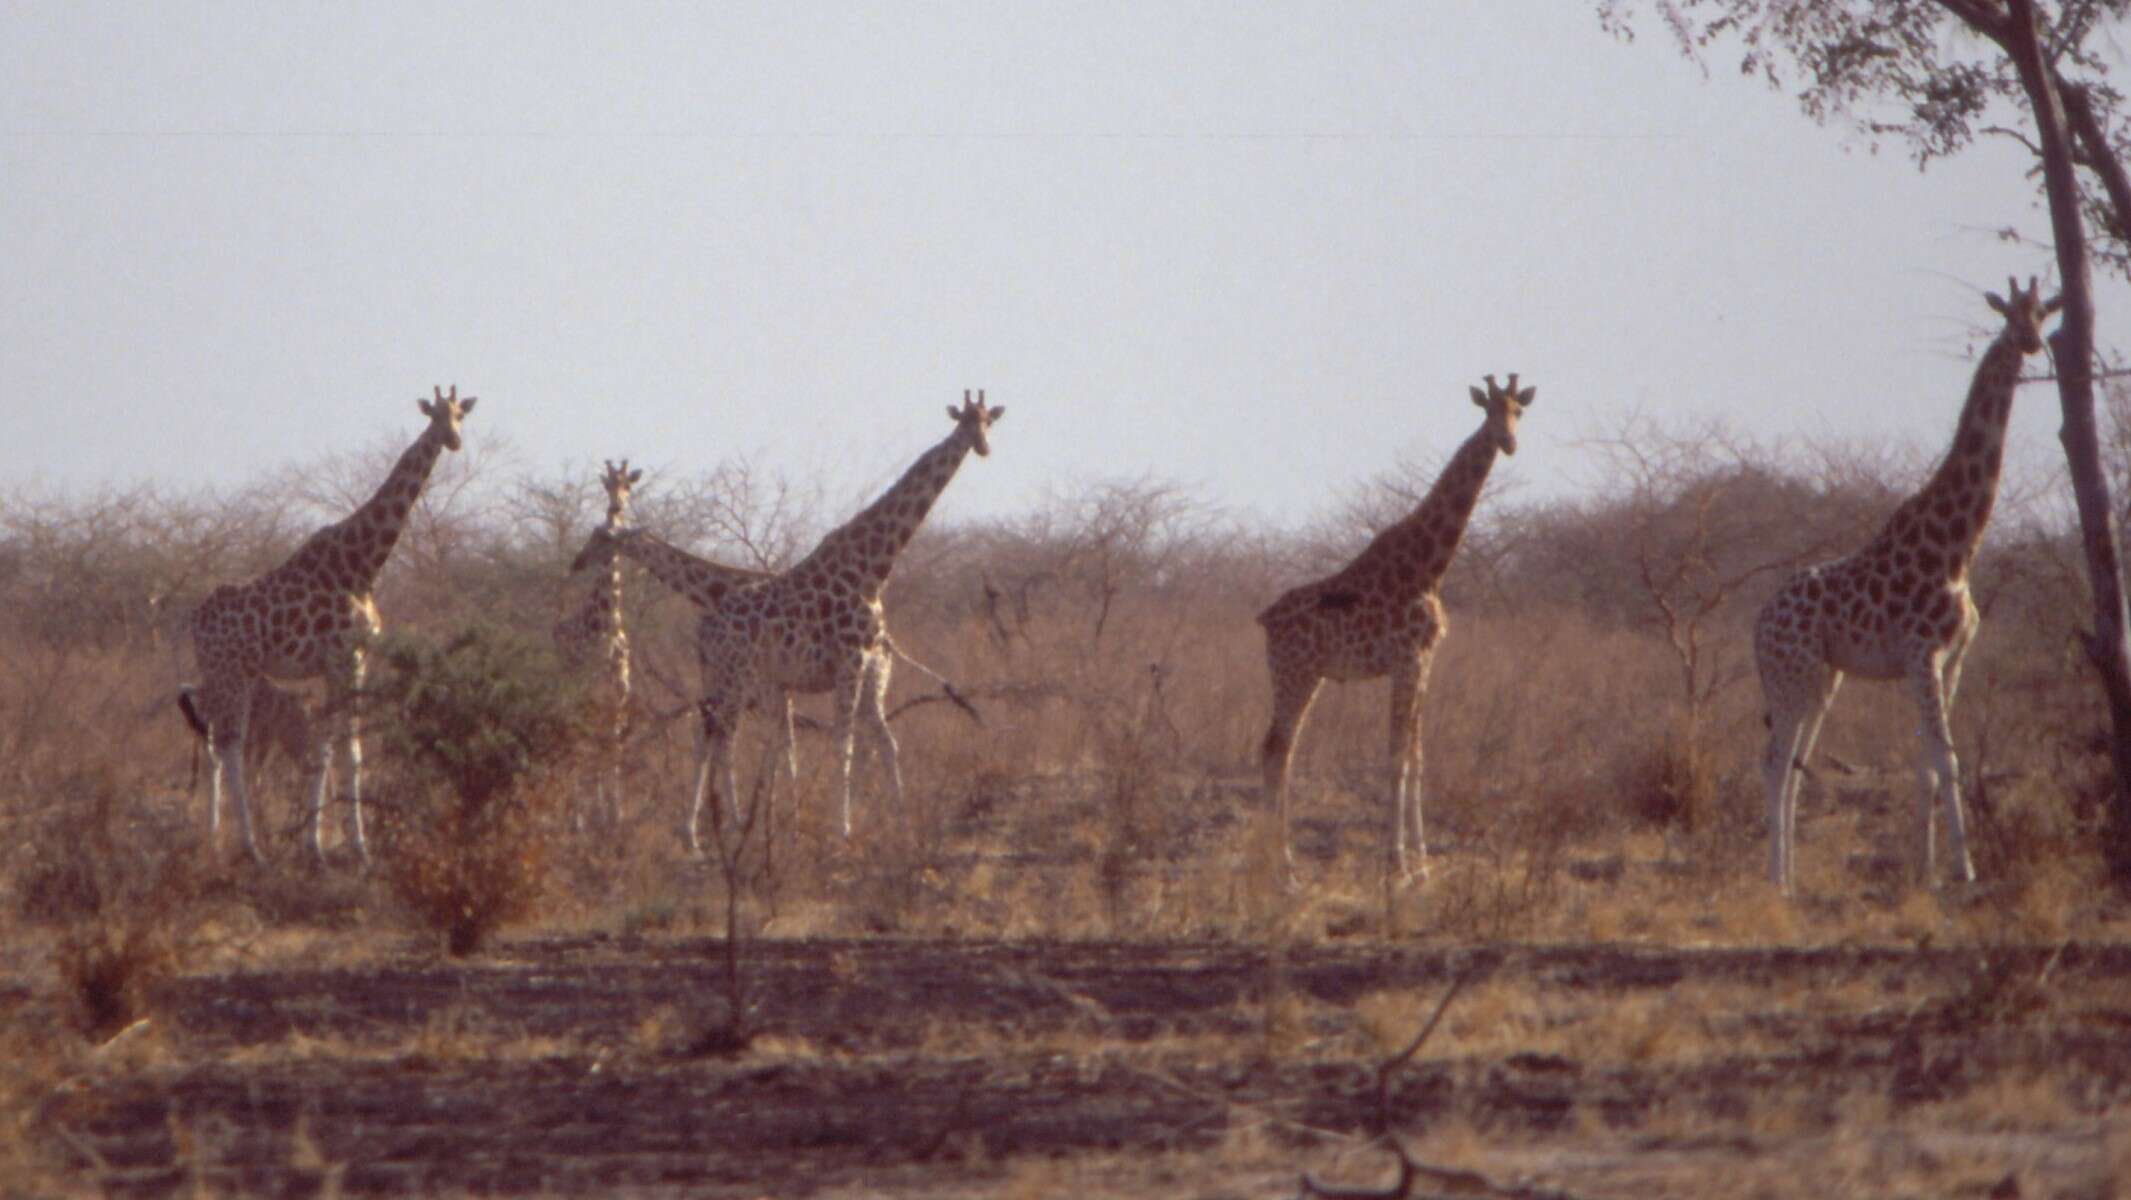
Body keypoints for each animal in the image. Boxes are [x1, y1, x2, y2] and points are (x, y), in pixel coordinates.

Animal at [188, 385, 479, 865]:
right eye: (435, 415)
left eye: (460, 415)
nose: (453, 441)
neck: (363, 566)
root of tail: (193, 618)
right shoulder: (349, 657)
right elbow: (351, 751)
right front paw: (359, 847)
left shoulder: (337, 664)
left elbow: (327, 749)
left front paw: (317, 844)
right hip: (233, 673)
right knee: (230, 747)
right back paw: (250, 848)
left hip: (222, 673)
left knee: (216, 745)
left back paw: (218, 841)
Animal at [694, 390, 1001, 839]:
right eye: (964, 421)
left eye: (988, 422)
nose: (982, 447)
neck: (872, 570)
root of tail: (702, 628)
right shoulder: (849, 661)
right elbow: (845, 741)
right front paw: (844, 827)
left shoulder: (871, 663)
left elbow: (883, 742)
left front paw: (899, 820)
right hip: (737, 676)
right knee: (726, 740)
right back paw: (734, 825)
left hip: (724, 678)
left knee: (709, 736)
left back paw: (705, 829)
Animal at [1253, 370, 1542, 878]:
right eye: (1489, 411)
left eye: (1518, 411)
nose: (1508, 443)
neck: (1430, 567)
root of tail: (1266, 619)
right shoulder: (1406, 661)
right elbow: (1395, 758)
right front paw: (1397, 863)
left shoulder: (1425, 663)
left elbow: (1417, 756)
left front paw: (1422, 861)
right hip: (1294, 673)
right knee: (1277, 749)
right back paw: (1284, 869)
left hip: (1311, 676)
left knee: (1279, 748)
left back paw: (1281, 864)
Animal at [1755, 274, 2054, 890]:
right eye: (2010, 313)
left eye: (2042, 311)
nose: (2031, 342)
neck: (1959, 546)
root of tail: (1755, 626)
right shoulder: (1922, 655)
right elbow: (1948, 758)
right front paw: (1965, 870)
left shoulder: (1952, 658)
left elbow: (1927, 766)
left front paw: (1927, 869)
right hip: (1791, 675)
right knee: (1773, 764)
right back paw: (1776, 882)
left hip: (1821, 680)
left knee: (1793, 766)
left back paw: (1791, 876)